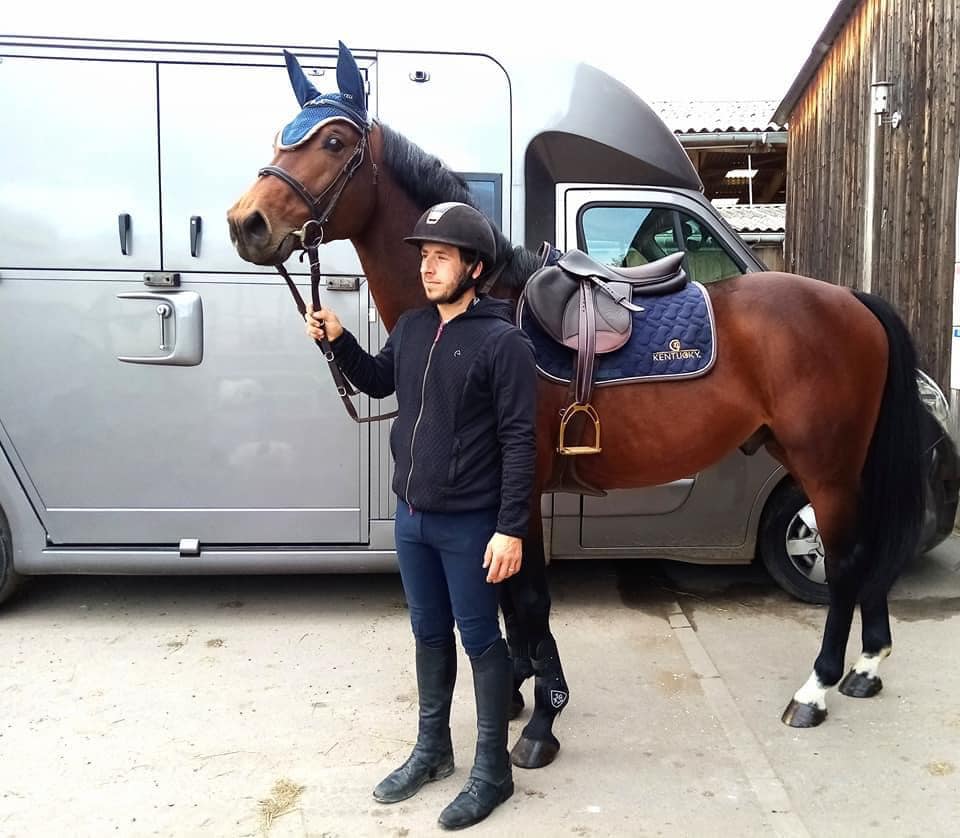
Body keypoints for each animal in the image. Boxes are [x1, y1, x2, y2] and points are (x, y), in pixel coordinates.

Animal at [227, 50, 928, 760]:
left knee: (845, 559)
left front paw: (540, 723)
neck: (484, 310)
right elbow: (506, 600)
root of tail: (852, 300)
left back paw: (816, 690)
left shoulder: (521, 491)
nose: (244, 223)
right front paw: (513, 693)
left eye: (334, 142)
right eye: (282, 134)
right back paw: (867, 666)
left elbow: (530, 600)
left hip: (826, 464)